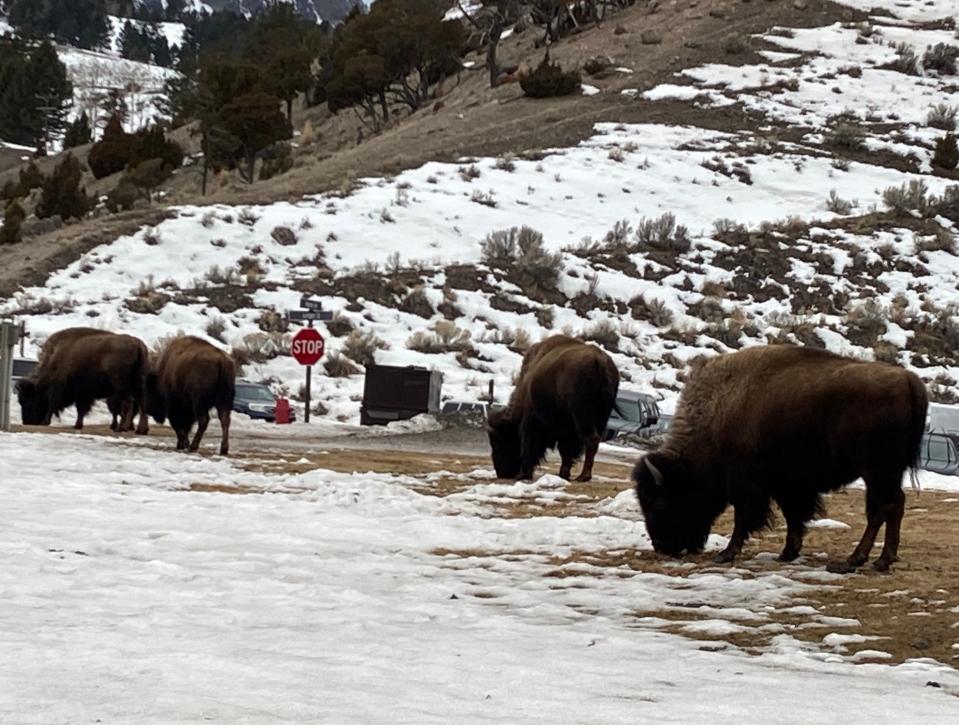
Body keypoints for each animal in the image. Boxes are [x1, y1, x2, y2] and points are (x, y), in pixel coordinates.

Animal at [16, 330, 150, 436]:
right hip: (138, 384)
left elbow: (52, 405)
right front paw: (77, 425)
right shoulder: (82, 394)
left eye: (27, 400)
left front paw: (45, 422)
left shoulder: (59, 389)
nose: (26, 421)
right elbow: (81, 409)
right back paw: (141, 430)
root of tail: (138, 345)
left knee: (127, 403)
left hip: (122, 386)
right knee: (142, 404)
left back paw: (121, 428)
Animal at [488, 336, 624, 484]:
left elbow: (530, 446)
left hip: (583, 414)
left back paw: (583, 476)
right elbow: (566, 451)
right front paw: (563, 474)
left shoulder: (532, 422)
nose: (501, 473)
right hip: (602, 417)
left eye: (498, 442)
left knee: (591, 439)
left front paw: (523, 474)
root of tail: (599, 361)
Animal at [632, 344, 928, 572]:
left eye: (659, 502)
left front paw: (726, 554)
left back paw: (864, 560)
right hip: (884, 473)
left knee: (884, 508)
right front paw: (788, 552)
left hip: (877, 471)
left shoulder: (747, 483)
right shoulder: (789, 484)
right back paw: (874, 559)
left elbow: (744, 516)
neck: (718, 414)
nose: (662, 546)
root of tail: (908, 380)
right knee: (889, 506)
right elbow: (793, 515)